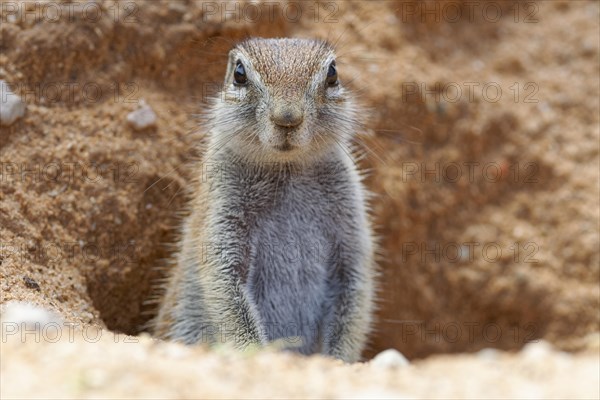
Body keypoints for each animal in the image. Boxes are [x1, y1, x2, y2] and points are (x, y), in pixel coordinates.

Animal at [152, 37, 372, 362]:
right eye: (239, 74)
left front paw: (338, 360)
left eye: (333, 73)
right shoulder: (222, 219)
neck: (287, 169)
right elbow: (226, 292)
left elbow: (354, 296)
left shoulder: (351, 229)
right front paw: (256, 352)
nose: (287, 118)